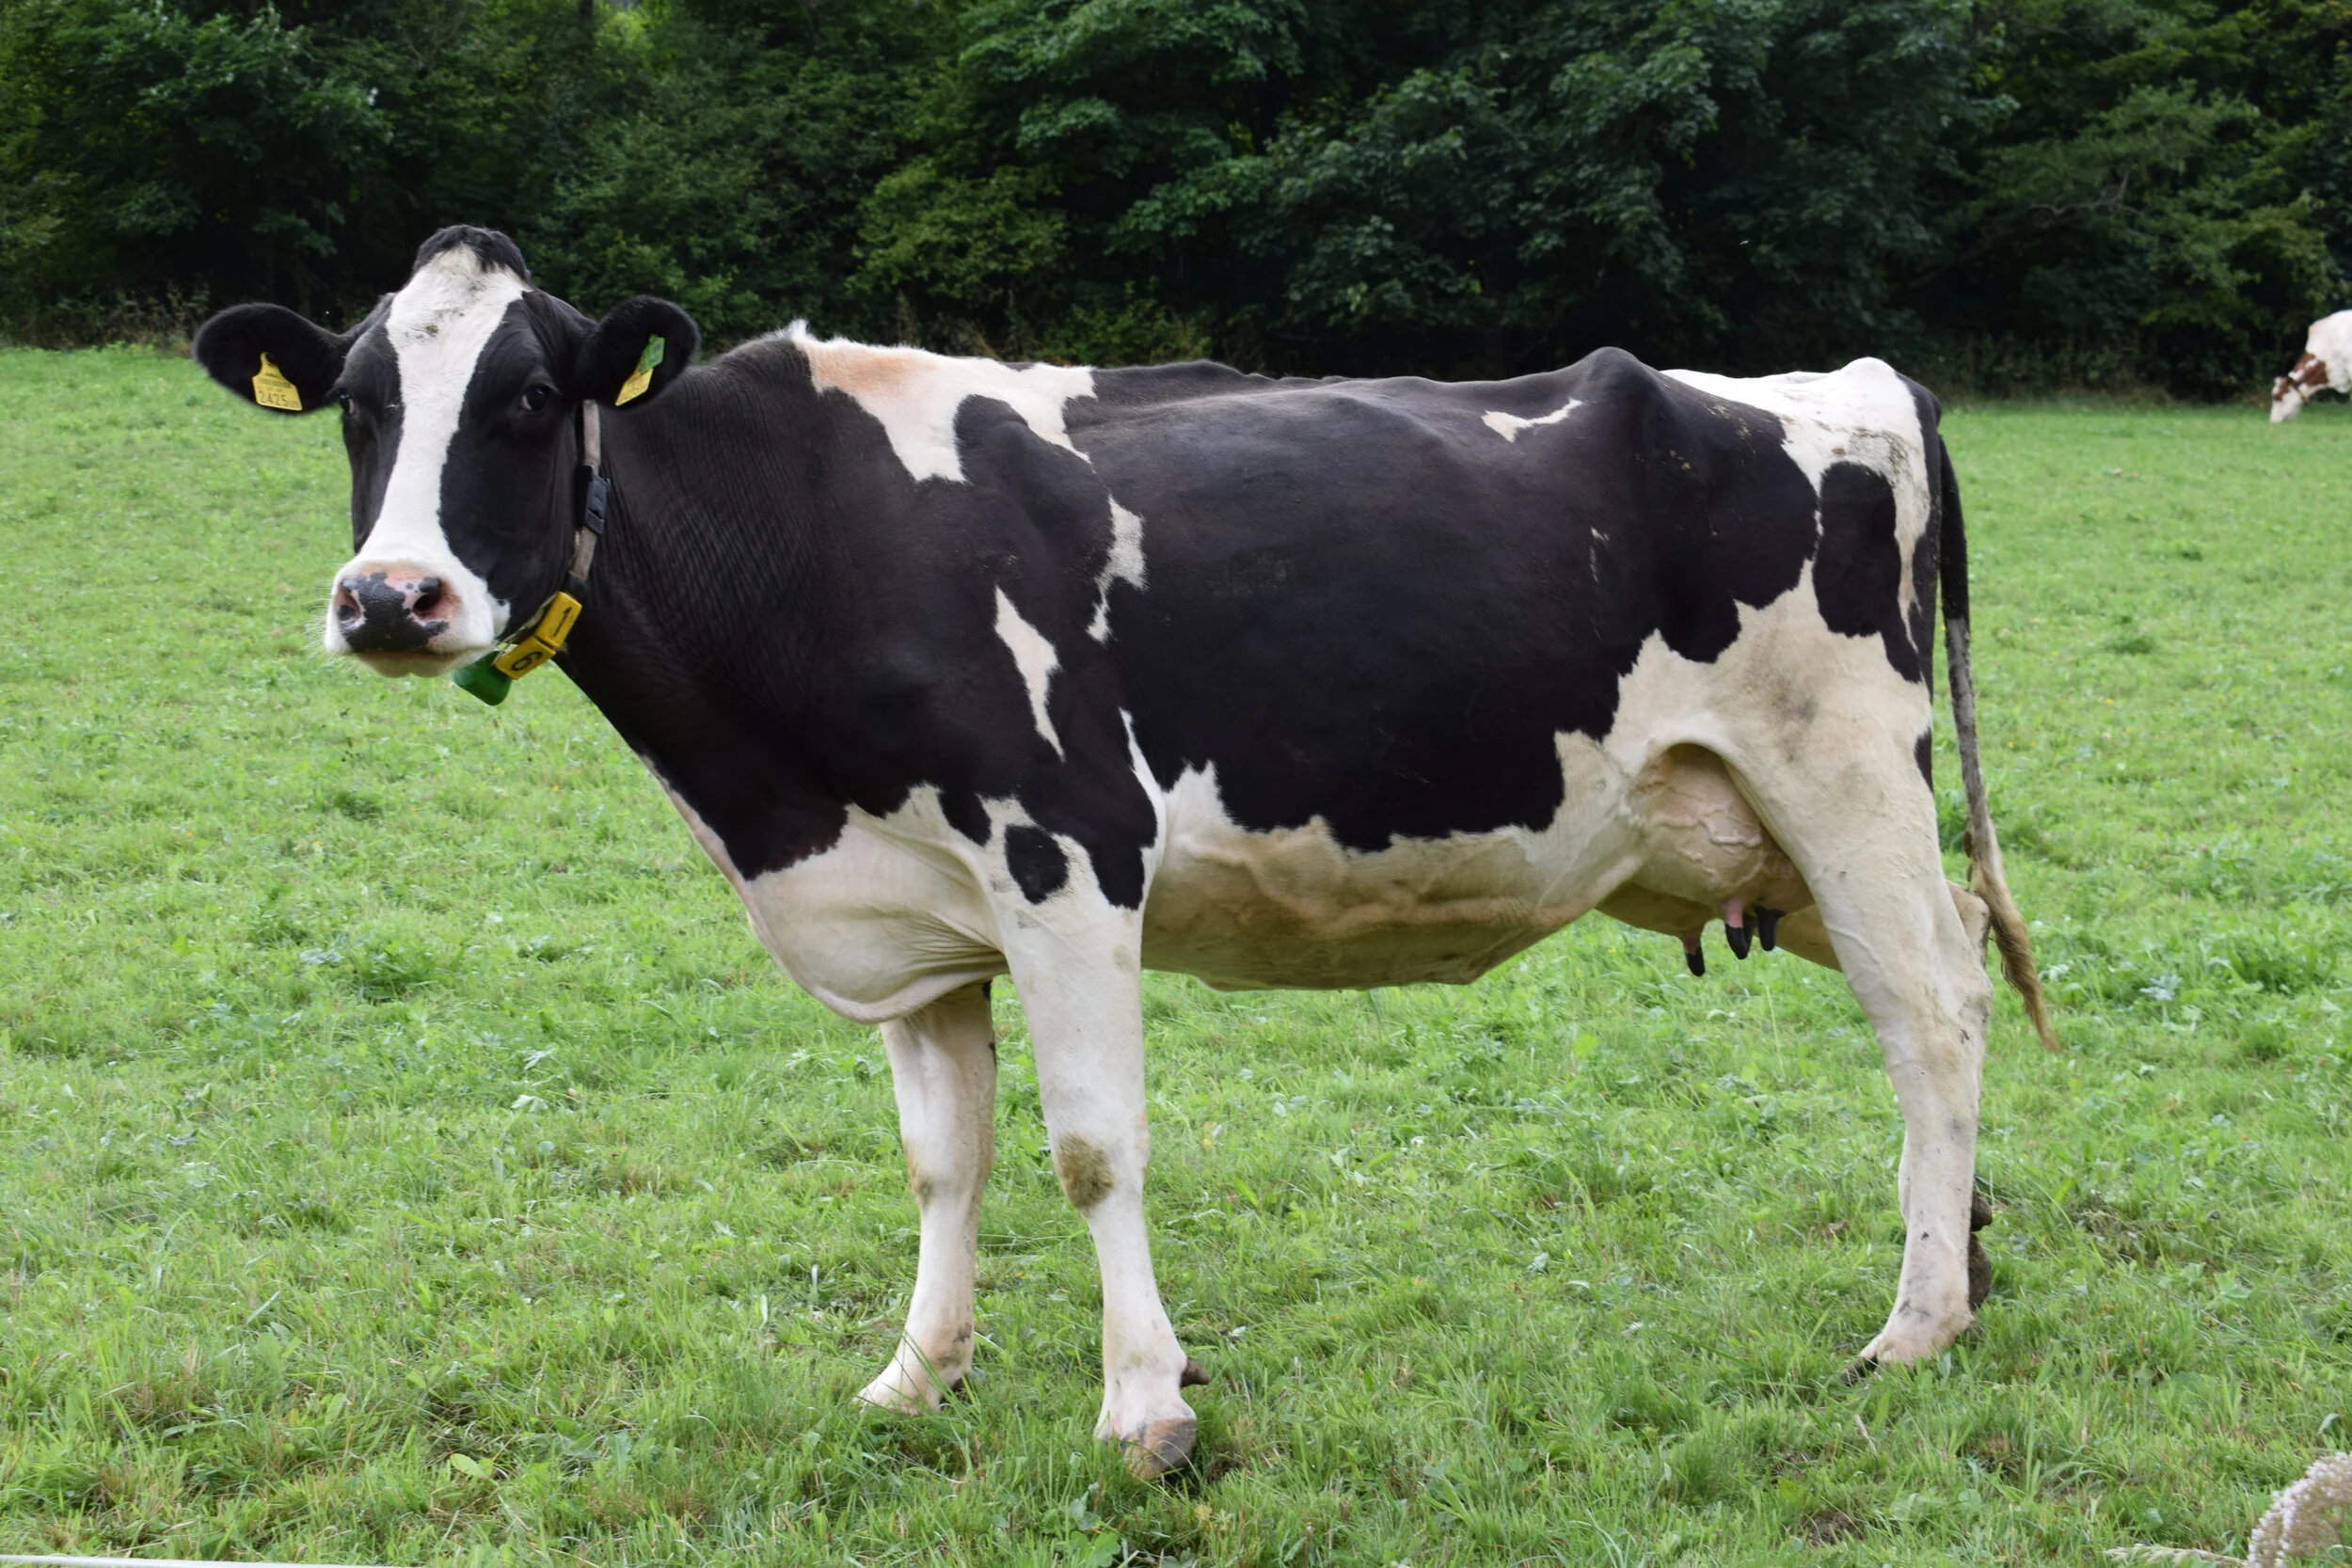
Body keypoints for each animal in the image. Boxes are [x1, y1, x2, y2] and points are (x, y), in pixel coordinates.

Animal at [193, 226, 2055, 1479]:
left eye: (524, 396)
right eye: (356, 404)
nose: (390, 598)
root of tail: (1855, 382)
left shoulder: (1067, 857)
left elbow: (1092, 1147)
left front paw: (1146, 1407)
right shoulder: (913, 919)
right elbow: (942, 1161)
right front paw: (916, 1373)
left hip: (1845, 781)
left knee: (1932, 1011)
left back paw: (1913, 1324)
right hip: (1758, 836)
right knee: (1957, 973)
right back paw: (1965, 1257)